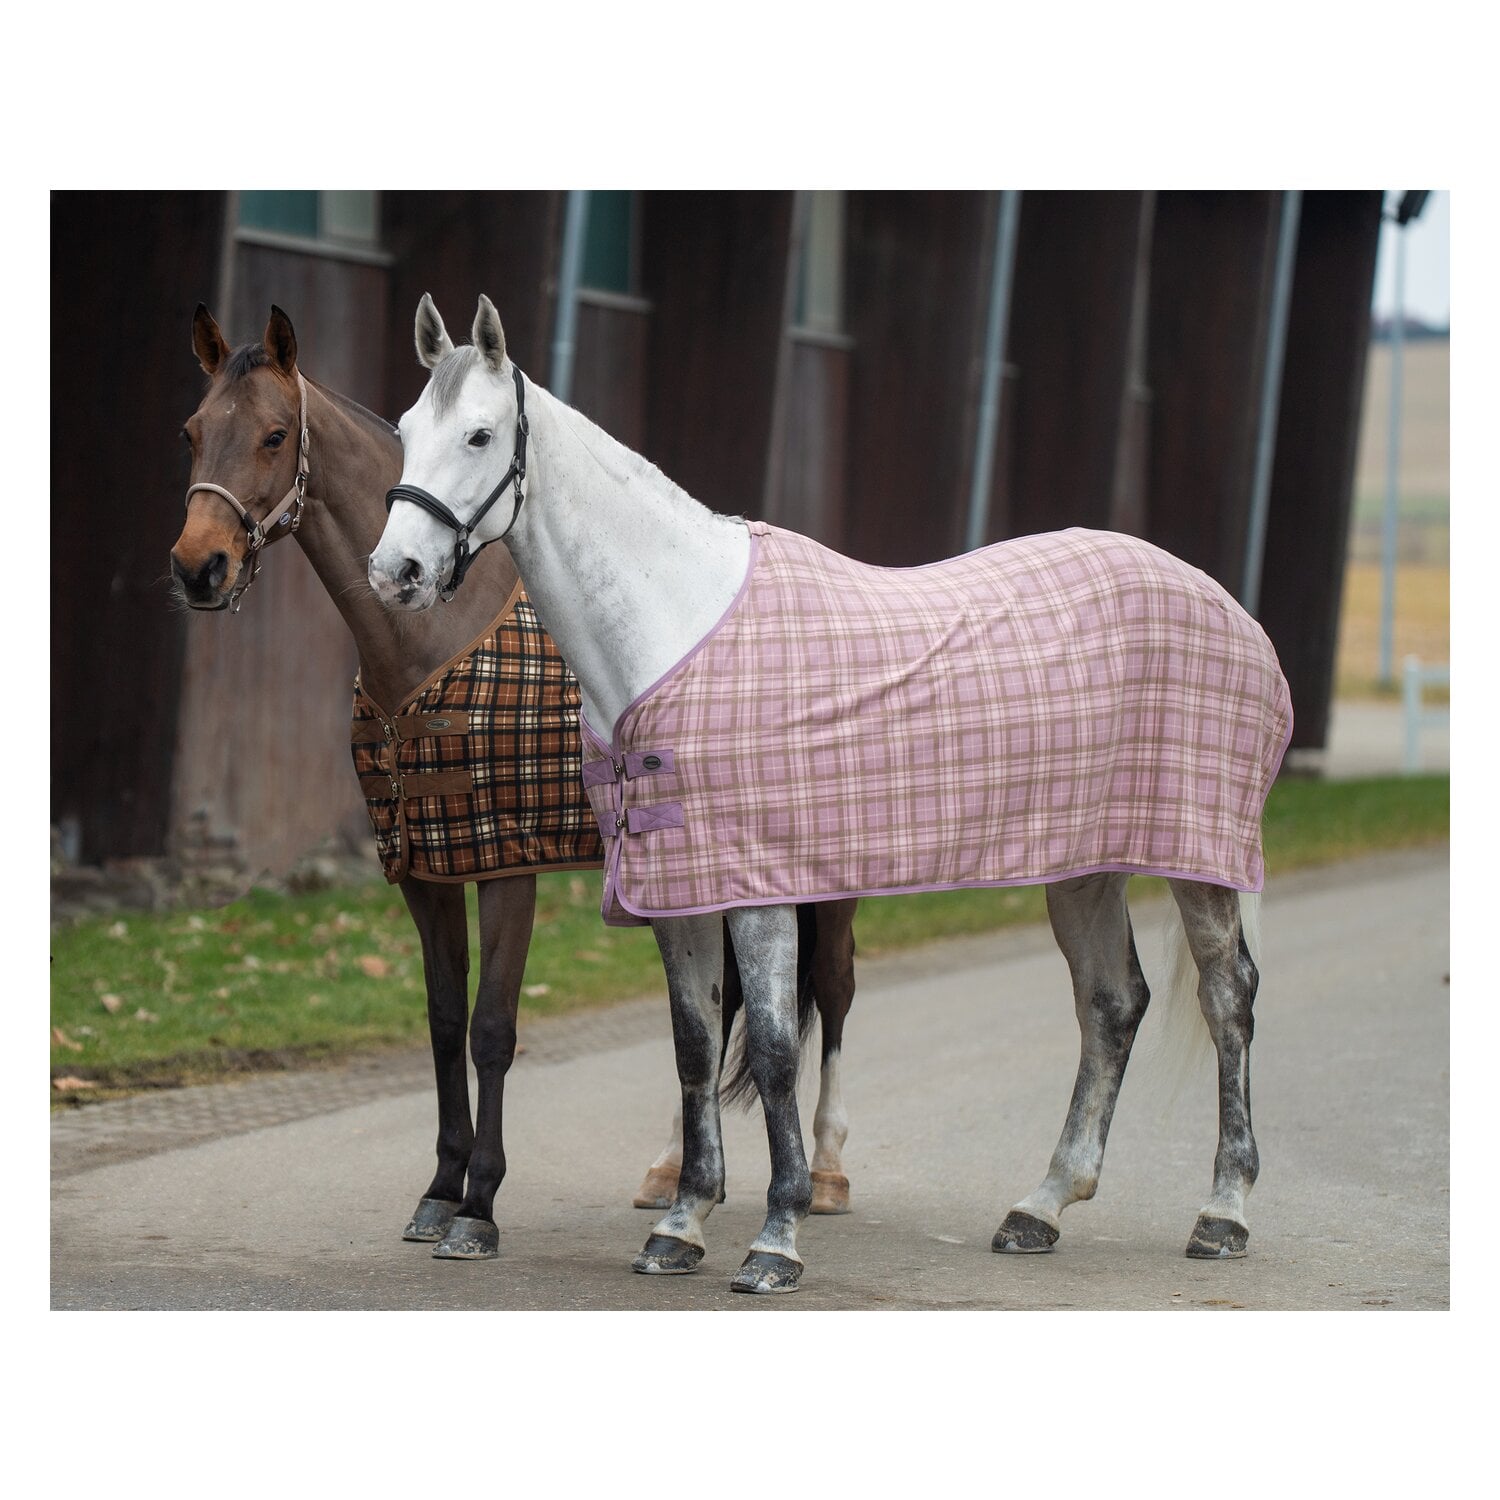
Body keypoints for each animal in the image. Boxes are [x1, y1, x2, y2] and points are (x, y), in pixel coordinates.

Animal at [168, 304, 860, 1261]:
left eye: (274, 435)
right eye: (194, 431)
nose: (199, 567)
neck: (434, 646)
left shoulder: (507, 864)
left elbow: (492, 1030)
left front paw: (480, 1206)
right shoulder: (425, 869)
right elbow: (442, 1021)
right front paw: (438, 1189)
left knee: (832, 987)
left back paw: (824, 1173)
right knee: (719, 1010)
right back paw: (671, 1172)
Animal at [368, 293, 1293, 1297]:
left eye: (480, 434)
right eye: (406, 430)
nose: (395, 573)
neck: (675, 623)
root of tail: (1227, 605)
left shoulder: (761, 890)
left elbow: (774, 1050)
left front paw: (776, 1235)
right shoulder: (681, 890)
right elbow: (696, 1047)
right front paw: (681, 1226)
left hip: (1200, 863)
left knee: (1229, 1000)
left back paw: (1224, 1212)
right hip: (1084, 867)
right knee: (1112, 1004)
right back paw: (1041, 1207)